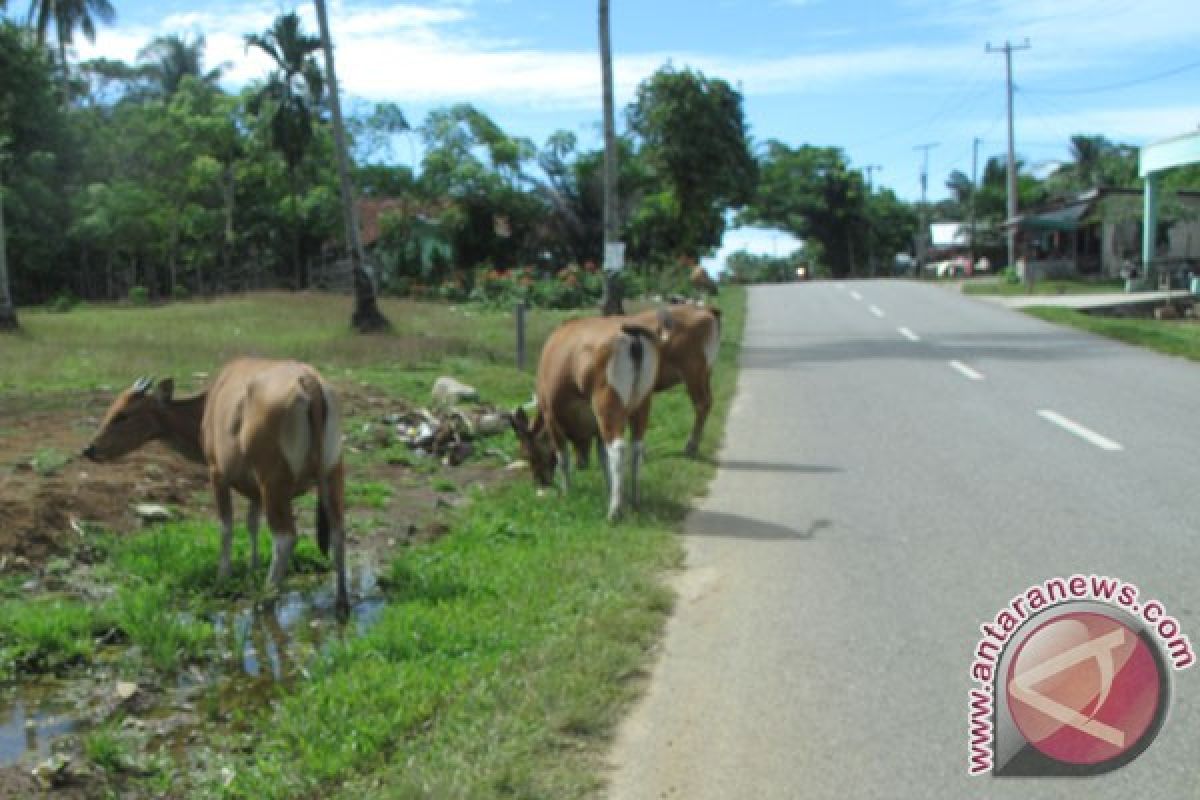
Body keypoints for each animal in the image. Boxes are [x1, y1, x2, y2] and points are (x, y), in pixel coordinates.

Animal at [81, 357, 348, 614]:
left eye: (123, 414)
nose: (90, 449)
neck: (205, 409)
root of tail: (310, 382)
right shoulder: (254, 488)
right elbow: (252, 525)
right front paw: (252, 570)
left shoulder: (217, 473)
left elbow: (226, 527)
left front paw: (223, 578)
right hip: (332, 472)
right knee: (337, 532)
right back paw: (341, 600)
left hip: (274, 480)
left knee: (284, 538)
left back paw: (266, 599)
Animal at [511, 316, 672, 522]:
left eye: (526, 454)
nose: (540, 483)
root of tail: (633, 335)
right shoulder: (596, 430)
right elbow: (603, 459)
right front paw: (610, 490)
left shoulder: (552, 416)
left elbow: (563, 457)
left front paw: (567, 492)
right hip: (643, 400)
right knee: (637, 447)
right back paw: (635, 500)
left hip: (607, 401)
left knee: (618, 448)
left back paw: (614, 512)